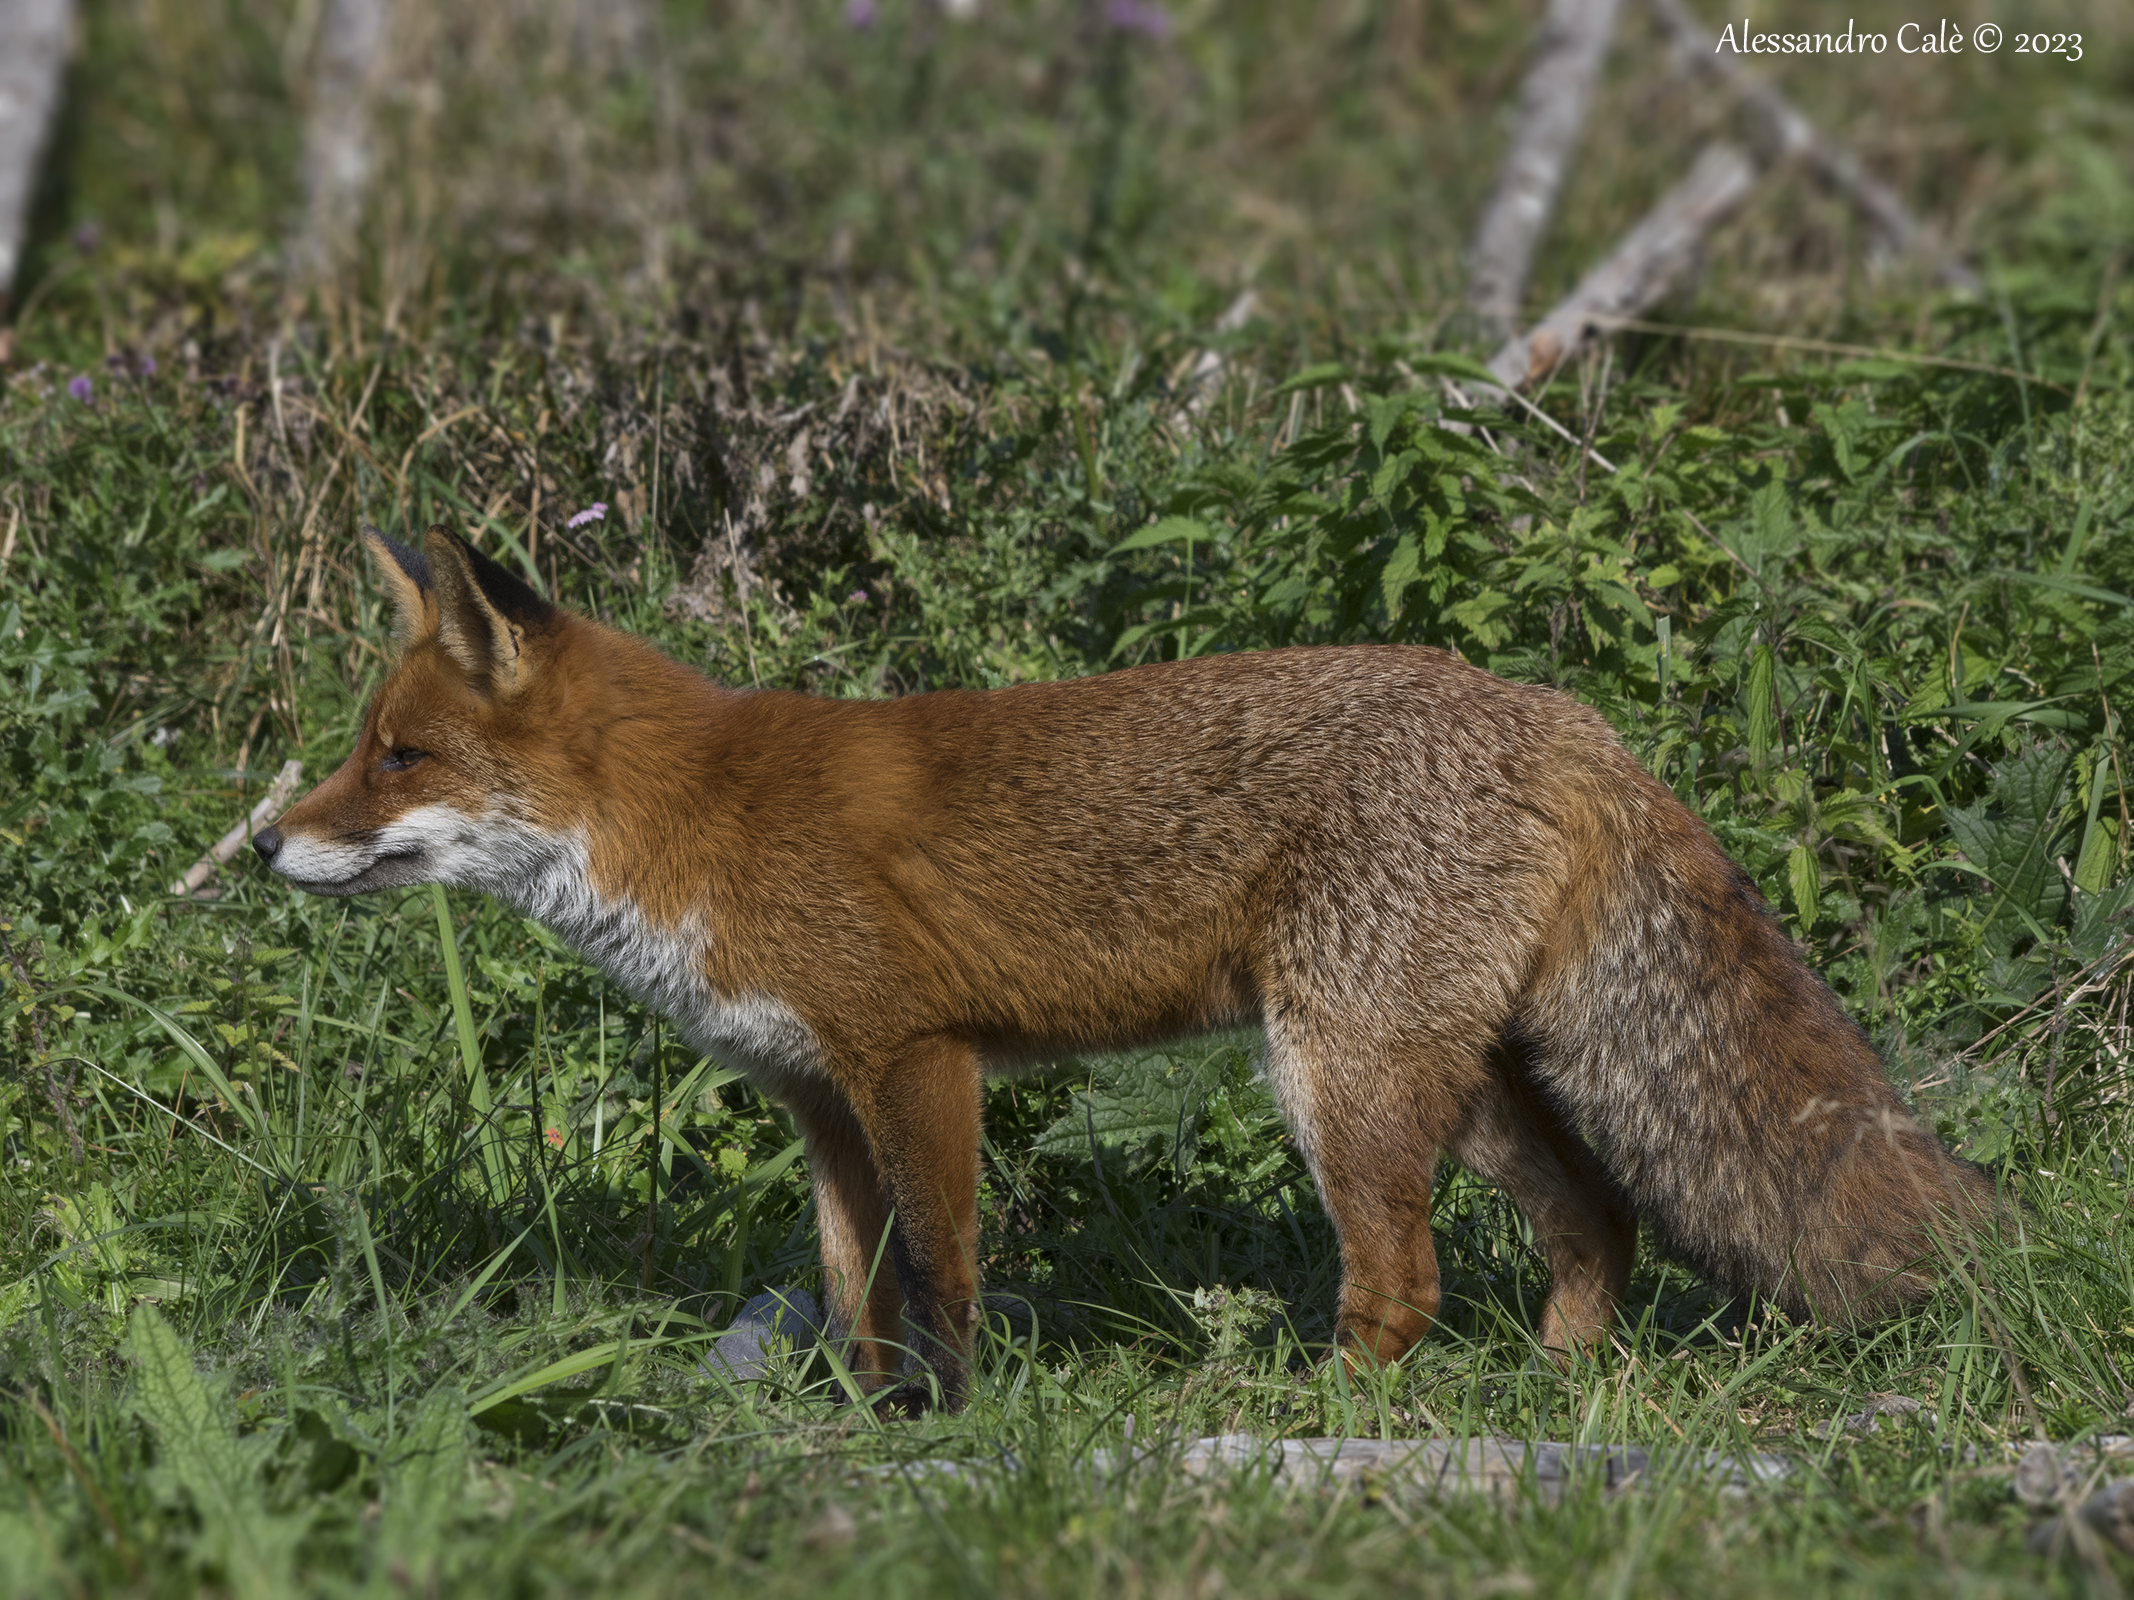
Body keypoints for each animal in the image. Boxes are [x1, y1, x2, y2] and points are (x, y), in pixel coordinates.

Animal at [255, 525, 1996, 1412]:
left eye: (397, 758)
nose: (268, 841)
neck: (690, 822)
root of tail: (1561, 714)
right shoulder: (818, 1099)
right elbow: (852, 1289)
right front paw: (864, 1426)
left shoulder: (916, 1059)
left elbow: (944, 1277)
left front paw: (950, 1431)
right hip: (1460, 1084)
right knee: (1601, 1223)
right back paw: (1556, 1393)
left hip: (1336, 1081)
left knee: (1406, 1283)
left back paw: (1312, 1419)